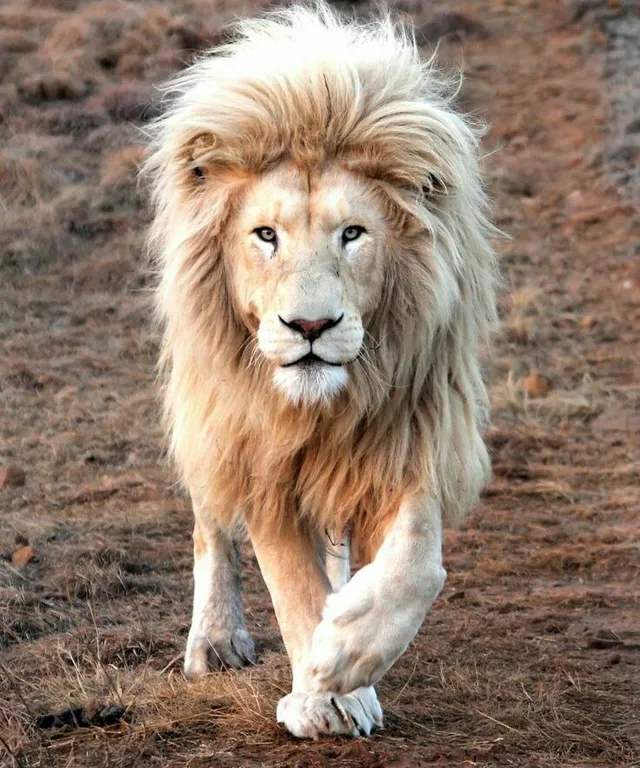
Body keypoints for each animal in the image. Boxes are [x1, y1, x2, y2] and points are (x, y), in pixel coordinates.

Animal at [146, 3, 500, 740]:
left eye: (353, 233)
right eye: (266, 235)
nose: (309, 328)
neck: (323, 409)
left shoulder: (412, 430)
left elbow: (418, 563)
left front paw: (349, 649)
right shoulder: (261, 457)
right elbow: (292, 583)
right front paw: (326, 695)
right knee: (209, 524)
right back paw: (215, 639)